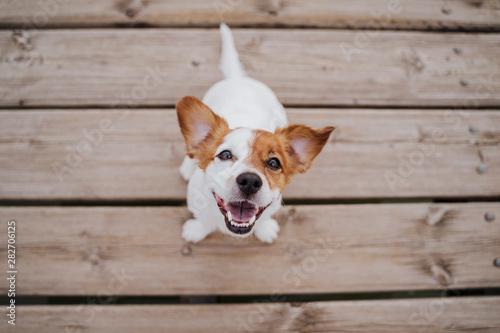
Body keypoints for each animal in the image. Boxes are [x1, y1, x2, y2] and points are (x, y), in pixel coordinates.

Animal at [174, 22, 334, 241]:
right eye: (225, 154)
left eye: (274, 163)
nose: (249, 181)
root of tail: (238, 78)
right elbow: (203, 220)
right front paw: (196, 230)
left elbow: (264, 220)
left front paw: (265, 230)